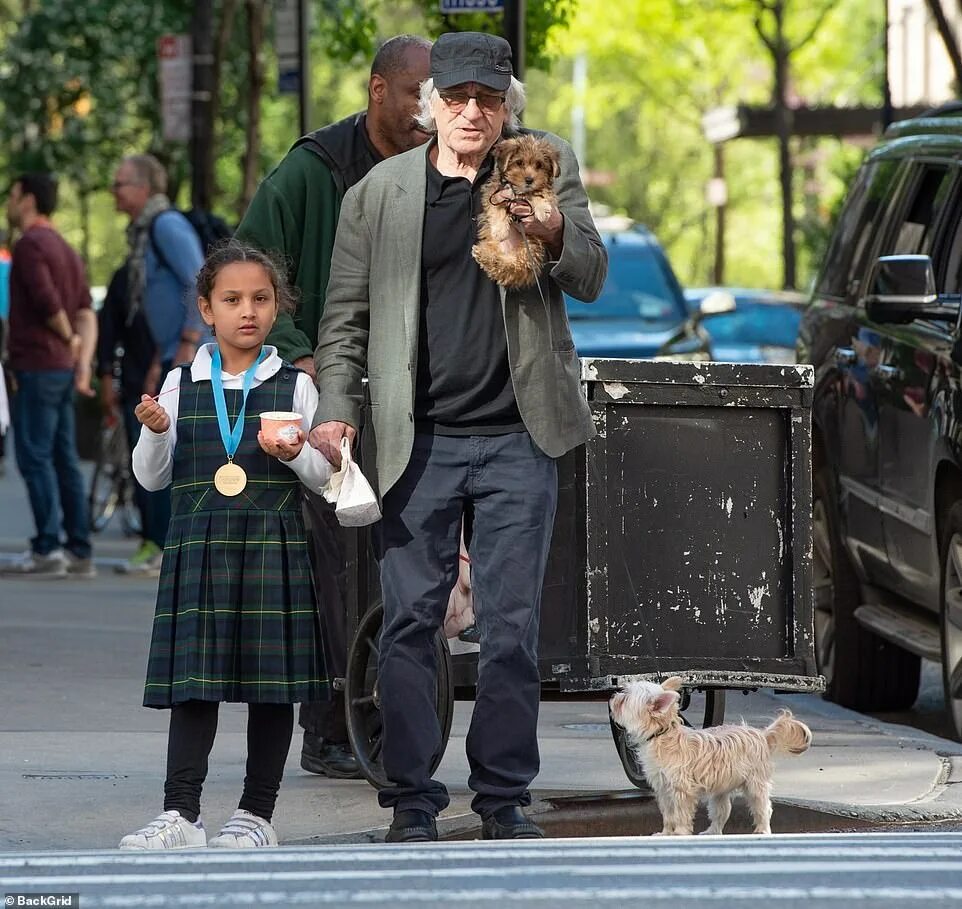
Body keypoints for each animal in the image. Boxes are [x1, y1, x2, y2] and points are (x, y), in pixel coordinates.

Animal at [470, 134, 560, 288]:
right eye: (519, 163)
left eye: (539, 165)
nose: (529, 180)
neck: (519, 191)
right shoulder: (494, 194)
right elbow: (497, 210)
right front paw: (500, 231)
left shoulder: (542, 190)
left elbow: (540, 192)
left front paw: (543, 209)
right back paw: (484, 255)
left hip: (529, 251)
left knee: (510, 267)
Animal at [608, 672, 808, 836]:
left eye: (625, 699)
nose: (613, 696)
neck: (661, 735)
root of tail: (762, 735)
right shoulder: (664, 790)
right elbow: (669, 814)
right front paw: (666, 833)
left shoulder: (681, 790)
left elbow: (680, 813)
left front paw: (679, 833)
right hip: (721, 791)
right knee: (722, 812)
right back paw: (712, 832)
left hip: (755, 785)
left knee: (763, 808)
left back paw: (763, 830)